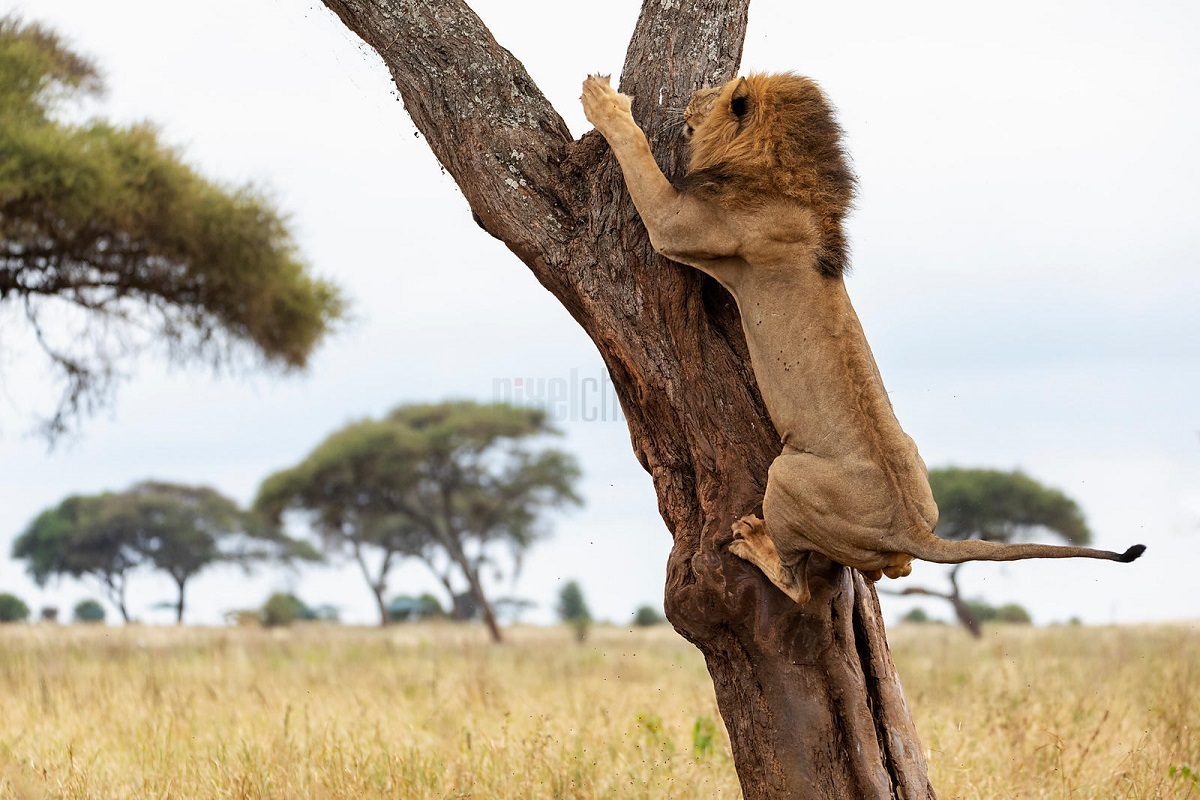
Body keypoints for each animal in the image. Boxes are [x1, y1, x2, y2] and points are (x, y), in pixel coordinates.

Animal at [580, 73, 1142, 599]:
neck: (785, 184)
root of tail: (910, 528)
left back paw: (753, 542)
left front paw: (605, 103)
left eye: (715, 91)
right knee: (897, 569)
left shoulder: (677, 226)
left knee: (797, 583)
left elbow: (638, 156)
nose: (691, 98)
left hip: (787, 474)